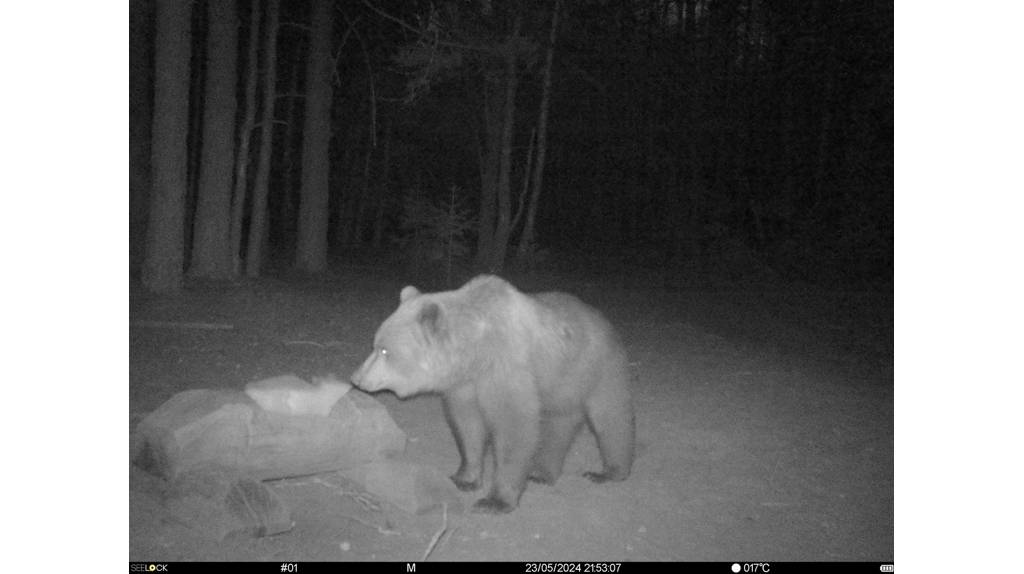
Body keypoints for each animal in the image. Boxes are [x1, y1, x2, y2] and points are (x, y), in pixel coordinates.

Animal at [350, 276, 630, 511]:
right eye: (374, 344)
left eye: (384, 350)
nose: (356, 379)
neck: (476, 351)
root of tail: (604, 320)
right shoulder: (465, 384)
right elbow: (468, 426)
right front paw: (464, 477)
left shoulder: (506, 371)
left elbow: (514, 428)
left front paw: (495, 500)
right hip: (562, 383)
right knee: (559, 424)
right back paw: (542, 472)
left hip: (598, 370)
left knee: (611, 419)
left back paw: (608, 471)